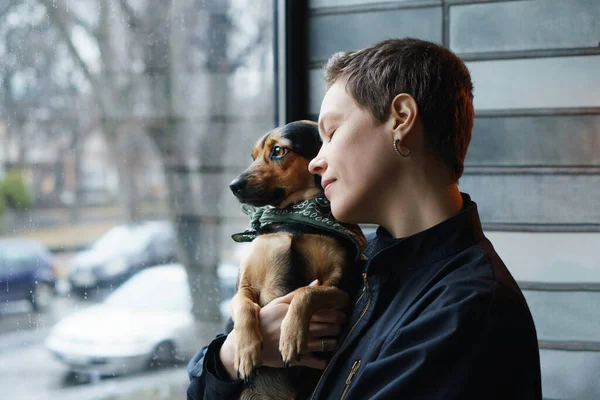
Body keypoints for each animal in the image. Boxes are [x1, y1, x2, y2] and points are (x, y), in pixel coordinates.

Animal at [229, 120, 366, 398]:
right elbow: (243, 305)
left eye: (278, 151)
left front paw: (291, 336)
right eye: (253, 156)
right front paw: (245, 351)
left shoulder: (340, 288)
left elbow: (306, 292)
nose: (233, 185)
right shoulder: (244, 285)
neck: (294, 219)